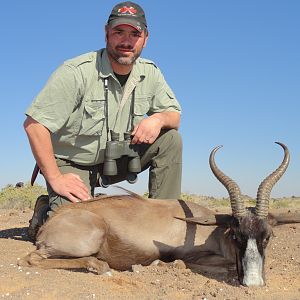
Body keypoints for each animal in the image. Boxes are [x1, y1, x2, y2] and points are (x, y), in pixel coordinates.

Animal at [19, 142, 298, 288]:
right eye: (236, 235)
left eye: (267, 236)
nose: (253, 282)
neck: (214, 230)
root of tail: (51, 223)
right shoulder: (191, 256)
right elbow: (200, 263)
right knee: (31, 259)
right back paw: (102, 267)